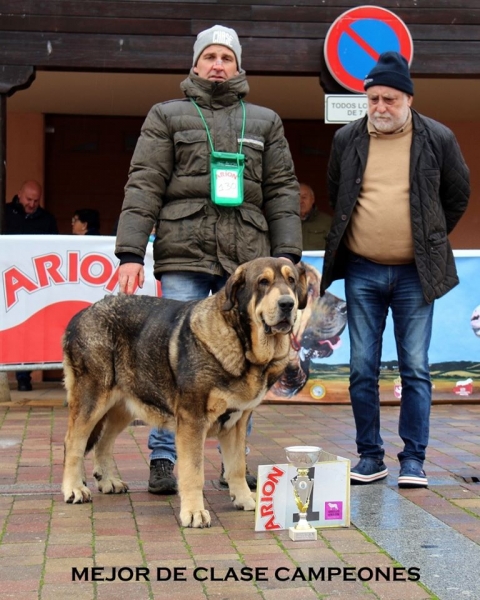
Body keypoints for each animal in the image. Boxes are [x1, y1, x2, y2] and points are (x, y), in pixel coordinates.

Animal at [62, 255, 308, 528]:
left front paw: (245, 499)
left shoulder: (237, 422)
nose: (287, 303)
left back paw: (108, 481)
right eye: (263, 282)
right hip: (92, 398)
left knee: (103, 442)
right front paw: (194, 512)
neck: (242, 343)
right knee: (74, 442)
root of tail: (82, 313)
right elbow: (193, 472)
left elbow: (236, 466)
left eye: (291, 280)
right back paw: (73, 489)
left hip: (123, 405)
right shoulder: (193, 420)